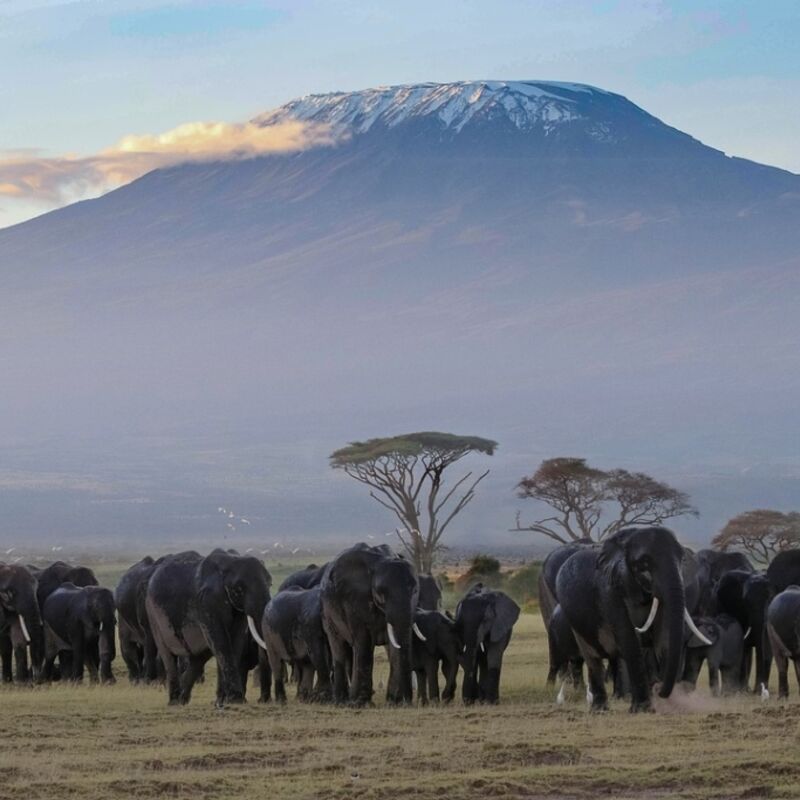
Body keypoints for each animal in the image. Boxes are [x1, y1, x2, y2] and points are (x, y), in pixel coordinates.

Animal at [143, 552, 268, 708]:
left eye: (270, 583)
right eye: (238, 590)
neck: (230, 562)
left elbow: (235, 642)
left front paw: (223, 701)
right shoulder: (206, 602)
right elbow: (221, 642)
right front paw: (236, 700)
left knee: (199, 656)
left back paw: (182, 699)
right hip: (153, 614)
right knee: (168, 655)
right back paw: (174, 702)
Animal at [320, 544, 418, 708]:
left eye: (415, 591)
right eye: (381, 593)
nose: (407, 702)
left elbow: (394, 646)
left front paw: (395, 702)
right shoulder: (354, 600)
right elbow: (363, 640)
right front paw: (359, 703)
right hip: (328, 615)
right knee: (338, 647)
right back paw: (341, 701)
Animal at [556, 524, 708, 712]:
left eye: (682, 559)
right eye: (644, 563)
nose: (659, 690)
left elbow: (663, 639)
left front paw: (666, 706)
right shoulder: (609, 592)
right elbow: (629, 640)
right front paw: (643, 710)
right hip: (576, 624)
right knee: (593, 659)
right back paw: (599, 710)